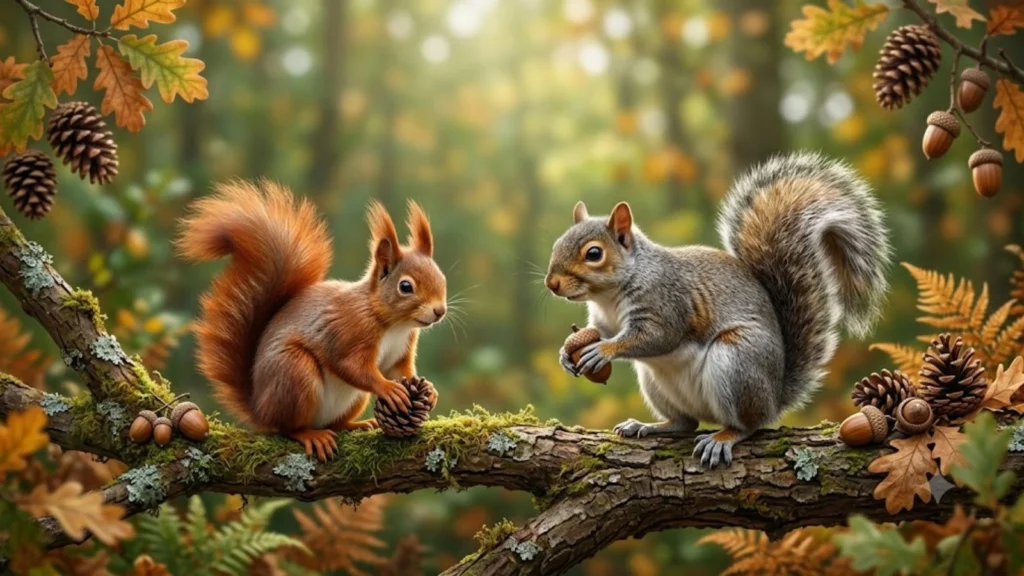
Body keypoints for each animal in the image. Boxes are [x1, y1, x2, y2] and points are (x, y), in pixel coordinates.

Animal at [177, 180, 447, 461]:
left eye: (442, 277)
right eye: (405, 286)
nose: (440, 311)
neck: (394, 324)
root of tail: (260, 409)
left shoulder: (401, 348)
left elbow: (399, 370)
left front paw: (429, 390)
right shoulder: (350, 330)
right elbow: (351, 366)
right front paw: (388, 388)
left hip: (350, 399)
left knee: (335, 423)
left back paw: (357, 424)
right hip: (295, 373)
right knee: (288, 427)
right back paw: (310, 435)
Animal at [545, 152, 892, 468]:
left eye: (593, 254)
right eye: (556, 244)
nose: (552, 284)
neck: (609, 296)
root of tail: (774, 397)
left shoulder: (667, 302)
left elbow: (656, 337)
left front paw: (603, 350)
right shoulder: (604, 320)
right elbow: (599, 332)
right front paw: (566, 352)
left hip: (736, 361)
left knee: (749, 425)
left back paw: (723, 437)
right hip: (655, 382)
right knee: (686, 422)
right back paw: (648, 426)